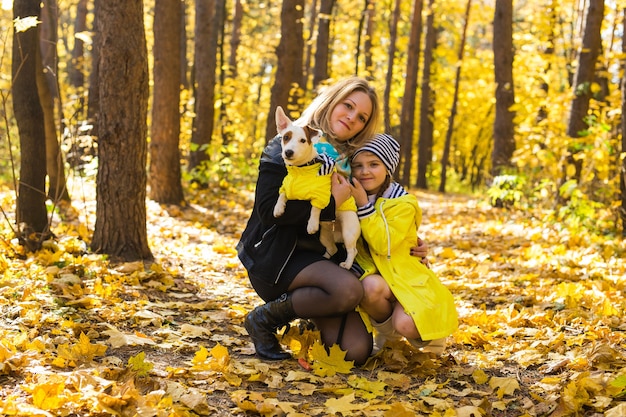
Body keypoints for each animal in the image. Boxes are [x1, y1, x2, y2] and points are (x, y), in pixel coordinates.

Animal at [270, 106, 358, 270]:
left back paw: (347, 264)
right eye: (286, 137)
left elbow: (315, 208)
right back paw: (325, 257)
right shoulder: (286, 187)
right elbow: (282, 195)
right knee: (332, 248)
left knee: (352, 250)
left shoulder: (321, 194)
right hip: (325, 235)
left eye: (303, 140)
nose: (288, 152)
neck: (300, 170)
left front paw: (311, 223)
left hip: (349, 232)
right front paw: (278, 209)